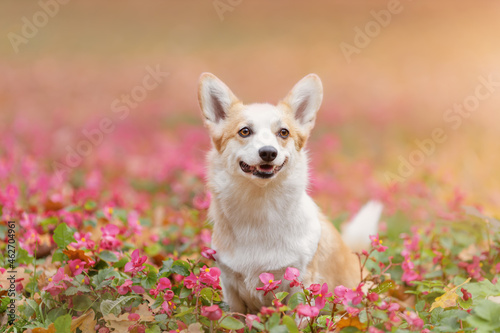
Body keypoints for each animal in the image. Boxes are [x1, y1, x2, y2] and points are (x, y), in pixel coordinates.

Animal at [197, 72, 380, 312]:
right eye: (244, 131)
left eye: (283, 132)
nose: (268, 152)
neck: (259, 206)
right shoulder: (230, 287)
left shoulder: (300, 283)